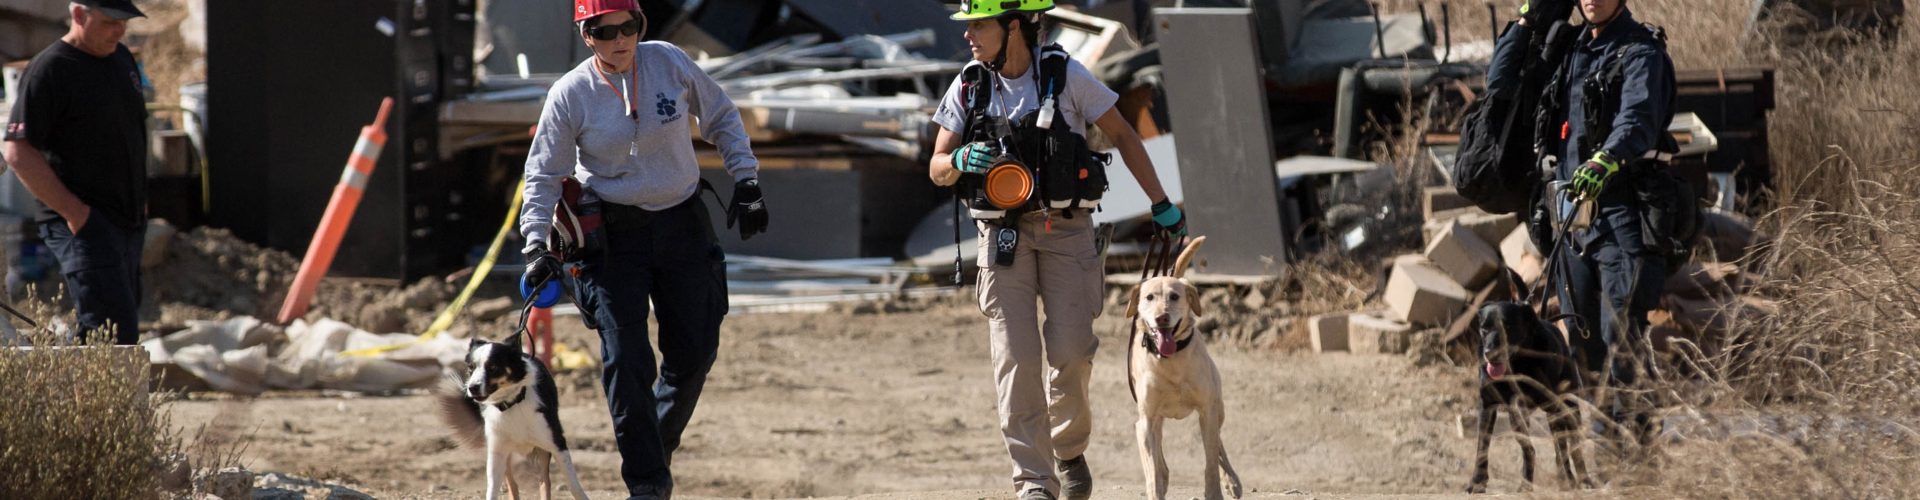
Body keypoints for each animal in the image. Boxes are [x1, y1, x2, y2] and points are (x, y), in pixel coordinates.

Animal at [1466, 300, 1589, 492]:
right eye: (1484, 328)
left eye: (1508, 326)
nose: (1490, 353)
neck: (1515, 364)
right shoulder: (1490, 406)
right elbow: (1484, 446)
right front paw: (1477, 482)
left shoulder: (1551, 405)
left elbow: (1561, 448)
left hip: (1567, 405)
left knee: (1571, 446)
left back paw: (1581, 480)